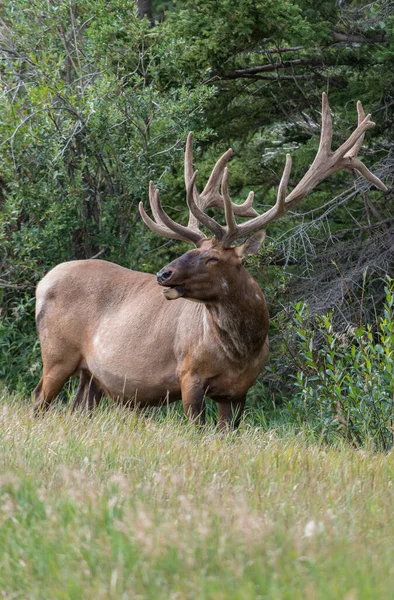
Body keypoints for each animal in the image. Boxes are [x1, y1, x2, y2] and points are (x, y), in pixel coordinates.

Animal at [34, 95, 388, 426]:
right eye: (193, 251)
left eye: (212, 257)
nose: (163, 274)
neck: (241, 351)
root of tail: (42, 283)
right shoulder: (189, 375)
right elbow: (198, 429)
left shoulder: (238, 391)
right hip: (57, 354)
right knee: (39, 401)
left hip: (90, 374)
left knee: (77, 407)